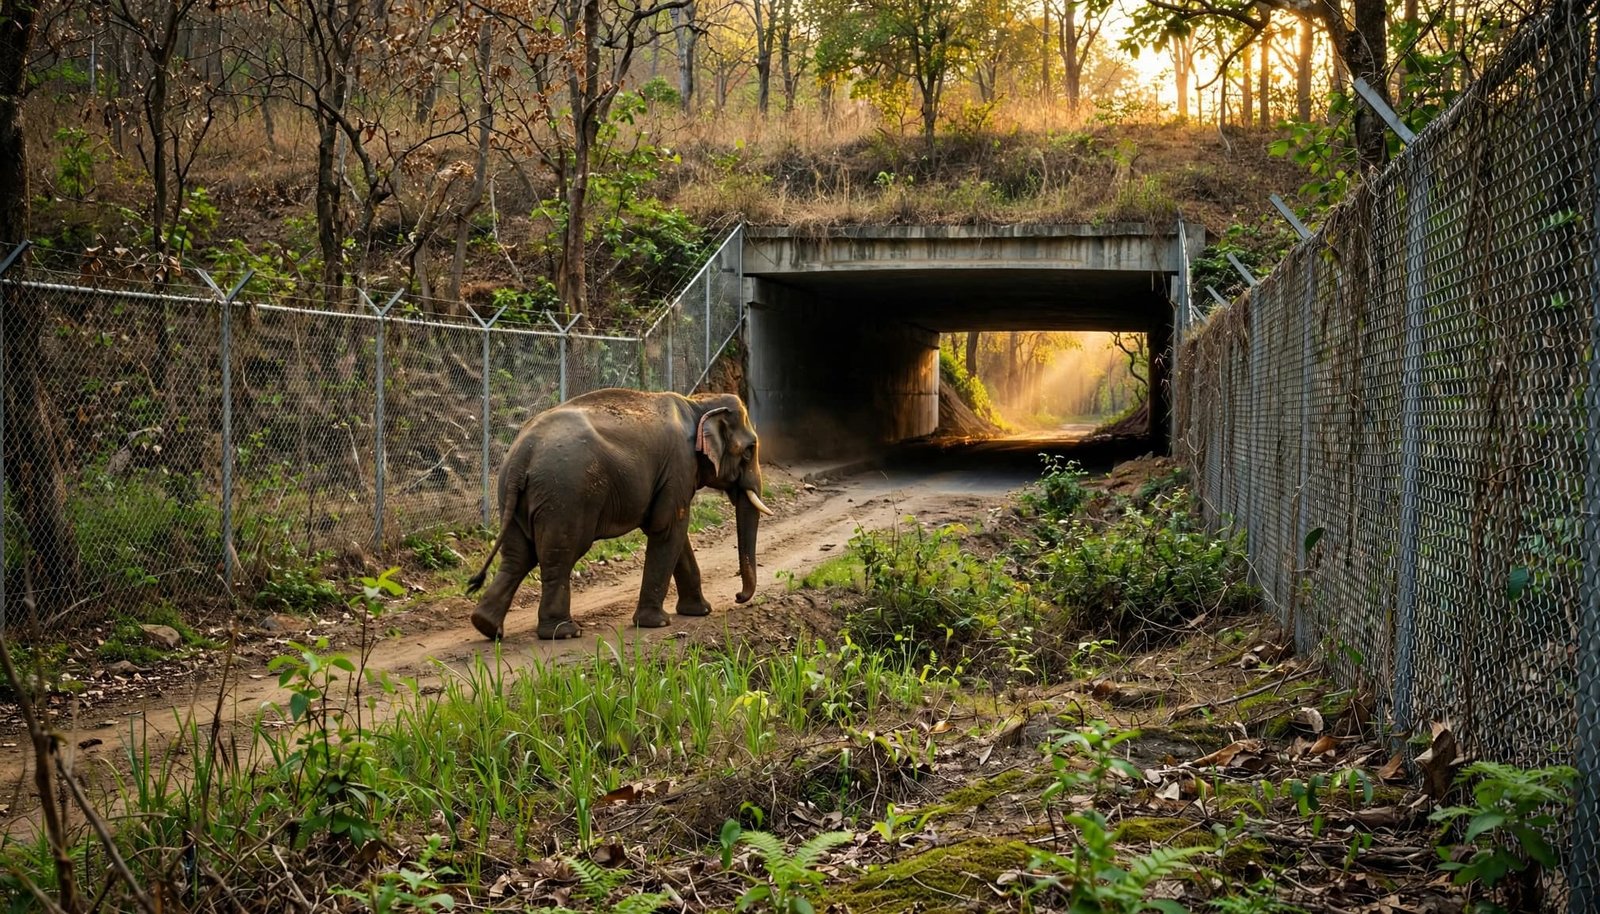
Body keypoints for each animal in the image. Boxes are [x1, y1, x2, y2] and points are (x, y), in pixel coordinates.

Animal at [465, 388, 773, 640]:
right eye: (749, 451)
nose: (738, 596)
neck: (698, 403)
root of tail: (521, 457)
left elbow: (675, 534)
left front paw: (700, 611)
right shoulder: (678, 465)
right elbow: (668, 528)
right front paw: (657, 623)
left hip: (515, 496)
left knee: (517, 557)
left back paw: (487, 627)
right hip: (565, 496)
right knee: (559, 556)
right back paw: (564, 632)